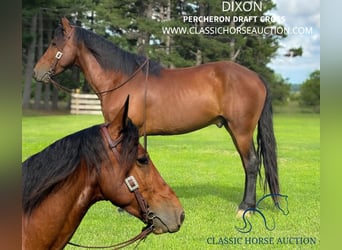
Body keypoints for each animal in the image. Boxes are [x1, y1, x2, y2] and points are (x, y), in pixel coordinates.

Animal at [34, 17, 280, 216]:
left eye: (54, 44)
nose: (37, 72)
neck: (120, 79)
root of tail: (256, 77)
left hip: (241, 131)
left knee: (251, 163)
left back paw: (246, 208)